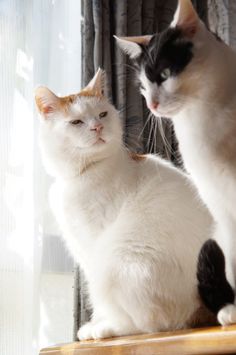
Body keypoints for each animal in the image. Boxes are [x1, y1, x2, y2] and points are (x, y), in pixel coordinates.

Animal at [34, 69, 212, 340]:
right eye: (76, 123)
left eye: (102, 114)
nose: (97, 127)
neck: (79, 176)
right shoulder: (80, 248)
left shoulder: (92, 244)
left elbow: (101, 303)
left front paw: (98, 323)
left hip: (116, 257)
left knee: (156, 323)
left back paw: (107, 329)